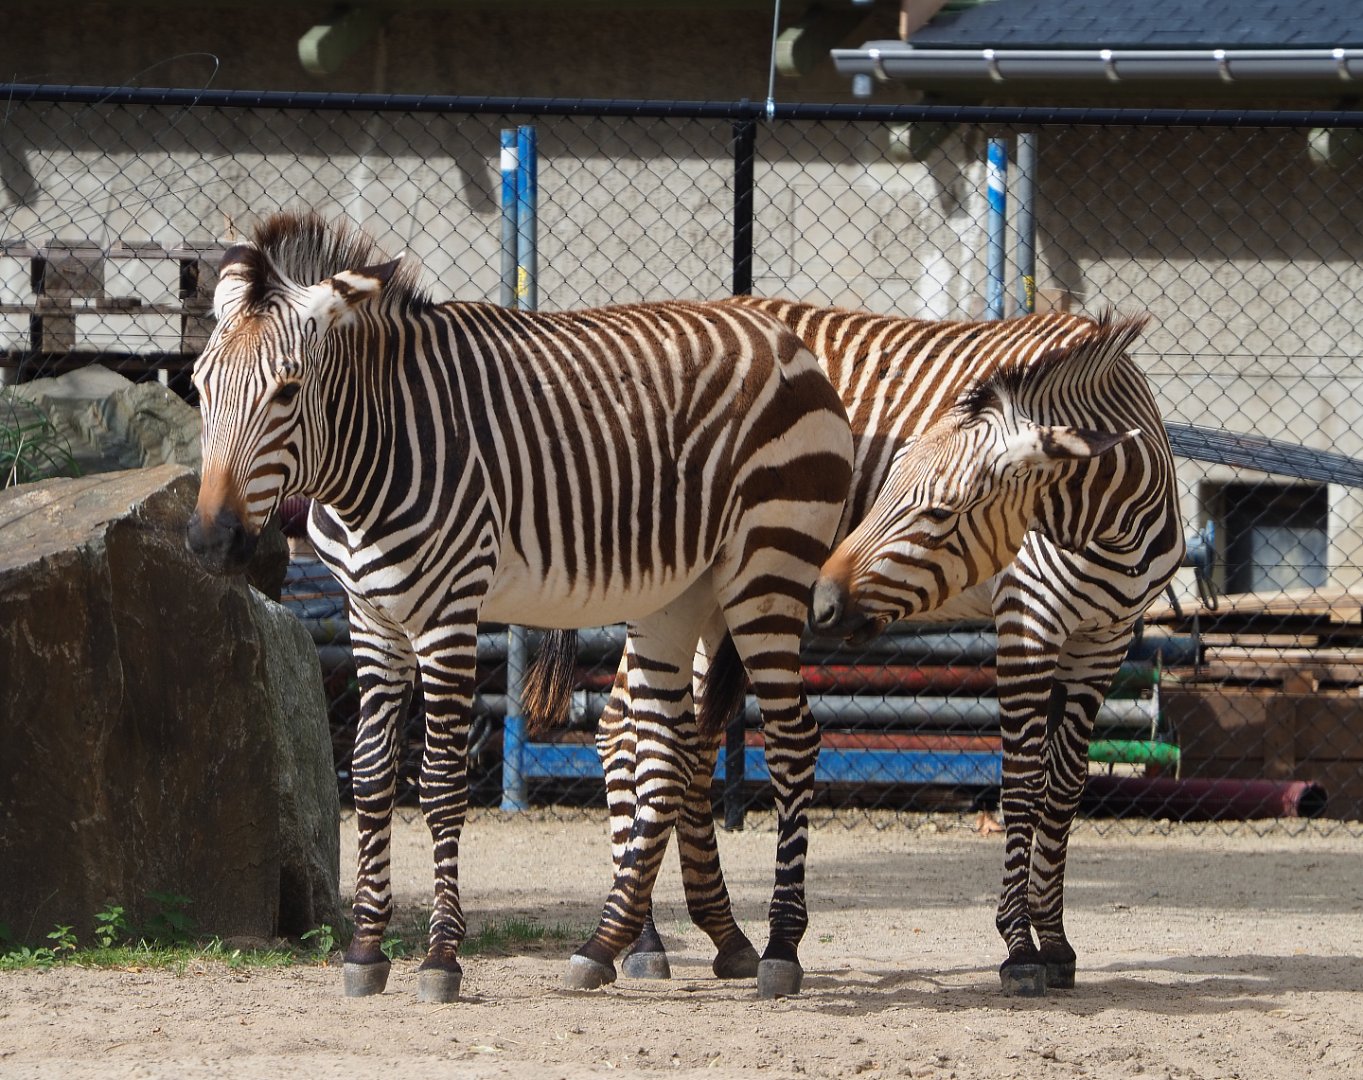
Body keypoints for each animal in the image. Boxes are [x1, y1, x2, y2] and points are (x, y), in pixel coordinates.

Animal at [184, 212, 854, 1003]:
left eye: (286, 391)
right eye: (198, 385)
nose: (212, 541)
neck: (372, 459)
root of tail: (784, 338)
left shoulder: (448, 616)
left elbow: (441, 784)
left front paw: (440, 957)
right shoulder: (369, 619)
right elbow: (372, 774)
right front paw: (366, 948)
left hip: (767, 570)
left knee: (791, 742)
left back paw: (779, 946)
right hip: (678, 594)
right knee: (664, 750)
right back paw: (605, 943)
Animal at [581, 298, 1183, 996]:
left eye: (943, 512)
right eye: (888, 484)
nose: (822, 599)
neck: (1116, 524)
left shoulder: (1104, 641)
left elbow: (1063, 785)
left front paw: (1056, 943)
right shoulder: (1027, 623)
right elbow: (1021, 782)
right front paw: (1019, 948)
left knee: (685, 743)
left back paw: (724, 937)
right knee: (623, 729)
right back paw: (643, 940)